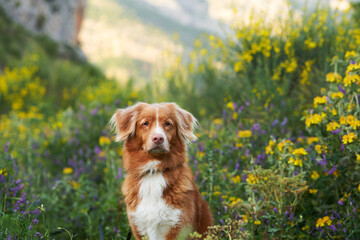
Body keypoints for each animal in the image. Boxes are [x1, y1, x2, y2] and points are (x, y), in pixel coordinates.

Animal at [111, 102, 212, 240]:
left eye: (168, 123)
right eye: (145, 123)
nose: (158, 138)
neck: (154, 172)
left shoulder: (178, 226)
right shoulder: (139, 226)